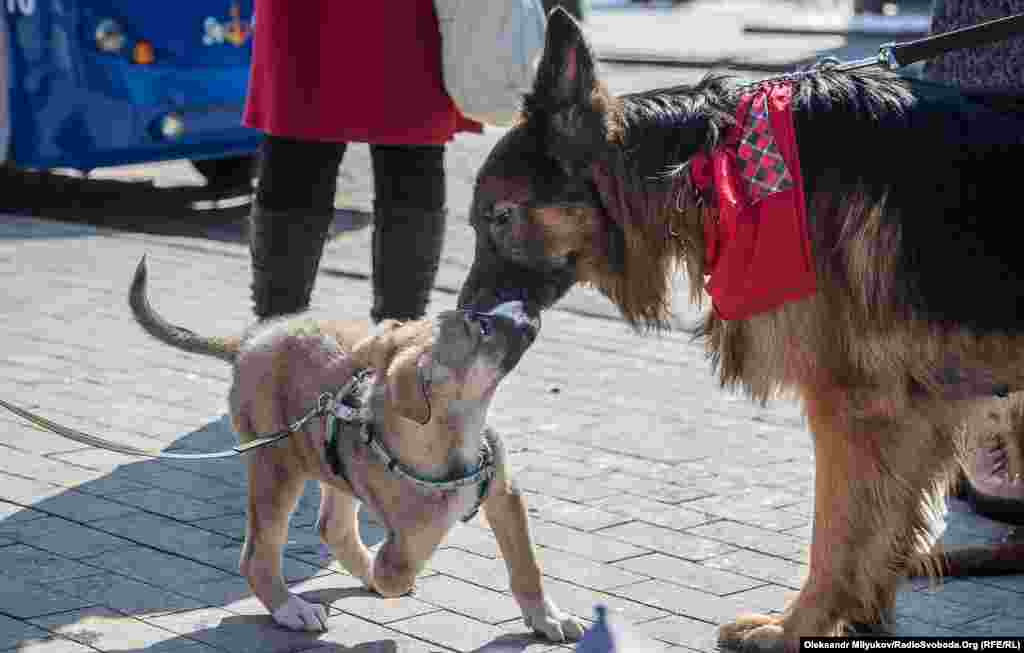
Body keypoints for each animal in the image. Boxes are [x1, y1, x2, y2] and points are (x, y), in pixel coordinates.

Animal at [130, 257, 585, 642]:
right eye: (481, 327)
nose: (527, 301)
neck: (458, 433)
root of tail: (251, 338)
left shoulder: (505, 494)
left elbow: (527, 565)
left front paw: (547, 618)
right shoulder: (421, 522)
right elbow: (404, 559)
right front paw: (393, 561)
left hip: (329, 461)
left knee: (333, 526)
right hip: (276, 466)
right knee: (259, 554)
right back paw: (291, 607)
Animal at [460, 7, 1024, 650]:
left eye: (500, 217)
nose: (466, 318)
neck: (708, 165)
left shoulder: (852, 406)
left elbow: (835, 536)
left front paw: (794, 627)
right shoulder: (915, 410)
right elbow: (883, 534)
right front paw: (861, 616)